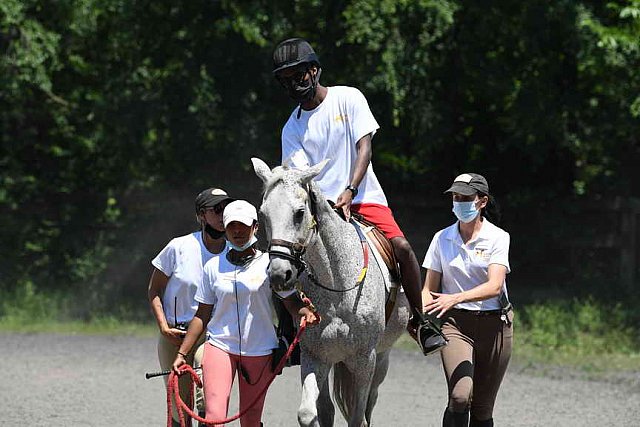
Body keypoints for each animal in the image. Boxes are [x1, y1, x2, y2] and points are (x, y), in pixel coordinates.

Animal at [251, 158, 410, 427]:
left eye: (299, 213)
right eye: (263, 214)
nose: (279, 274)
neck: (338, 287)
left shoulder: (365, 360)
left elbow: (358, 417)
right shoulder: (315, 356)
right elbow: (309, 413)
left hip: (382, 357)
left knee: (371, 401)